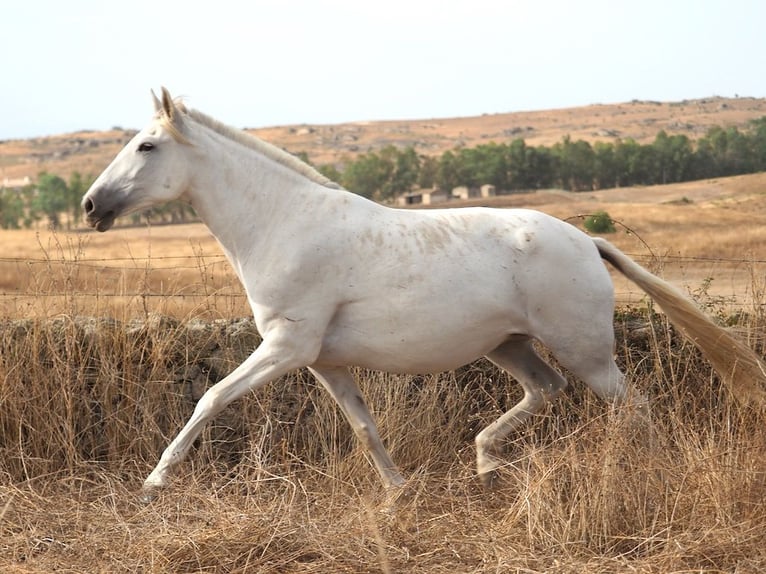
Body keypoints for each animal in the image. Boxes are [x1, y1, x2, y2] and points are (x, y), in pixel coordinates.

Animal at [81, 88, 764, 502]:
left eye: (146, 145)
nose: (91, 206)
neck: (284, 224)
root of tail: (588, 241)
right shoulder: (323, 361)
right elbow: (363, 427)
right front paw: (399, 493)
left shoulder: (285, 347)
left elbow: (210, 397)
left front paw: (153, 484)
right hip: (509, 345)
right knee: (547, 389)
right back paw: (486, 463)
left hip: (586, 351)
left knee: (633, 405)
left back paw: (646, 474)